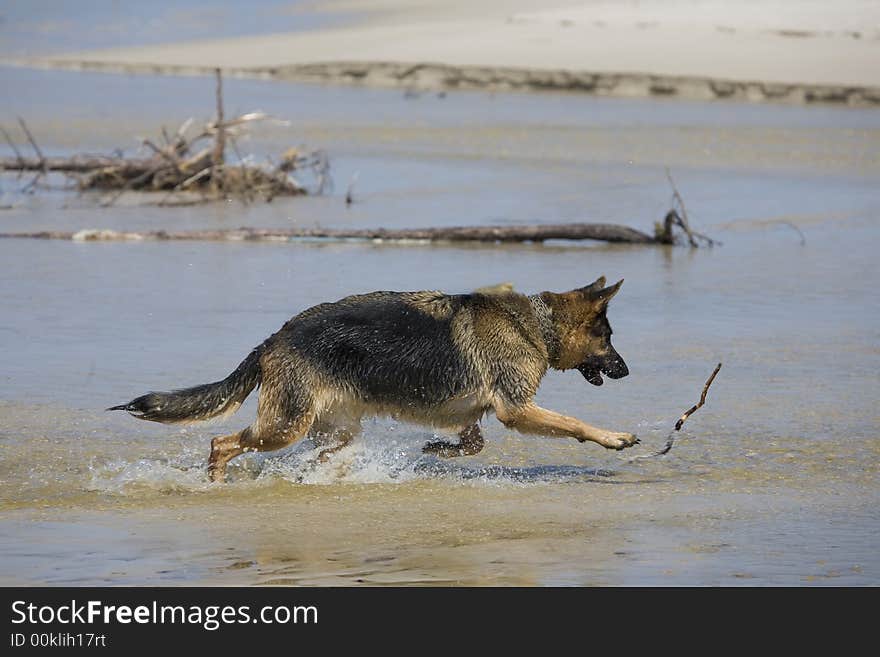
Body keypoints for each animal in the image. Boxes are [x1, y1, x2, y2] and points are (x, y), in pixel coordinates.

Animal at [110, 274, 636, 480]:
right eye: (609, 338)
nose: (627, 370)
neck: (536, 326)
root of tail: (274, 339)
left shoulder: (474, 413)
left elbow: (472, 443)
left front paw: (437, 449)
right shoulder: (518, 410)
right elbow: (573, 423)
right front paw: (613, 437)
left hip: (334, 429)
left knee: (317, 456)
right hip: (284, 426)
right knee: (222, 443)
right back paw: (216, 482)